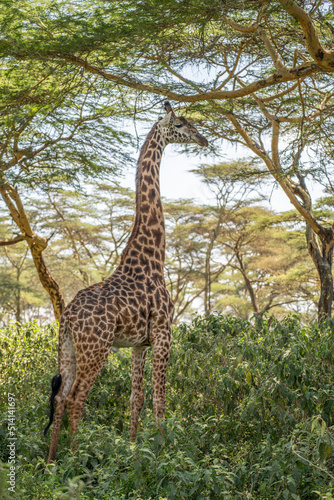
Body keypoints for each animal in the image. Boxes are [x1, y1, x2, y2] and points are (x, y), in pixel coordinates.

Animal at [43, 100, 207, 460]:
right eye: (181, 124)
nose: (203, 139)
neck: (152, 255)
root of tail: (68, 317)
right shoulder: (163, 333)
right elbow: (160, 399)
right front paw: (163, 453)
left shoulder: (138, 344)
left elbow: (136, 398)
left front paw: (133, 449)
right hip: (97, 347)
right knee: (76, 398)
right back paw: (75, 459)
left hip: (67, 348)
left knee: (60, 397)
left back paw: (50, 462)